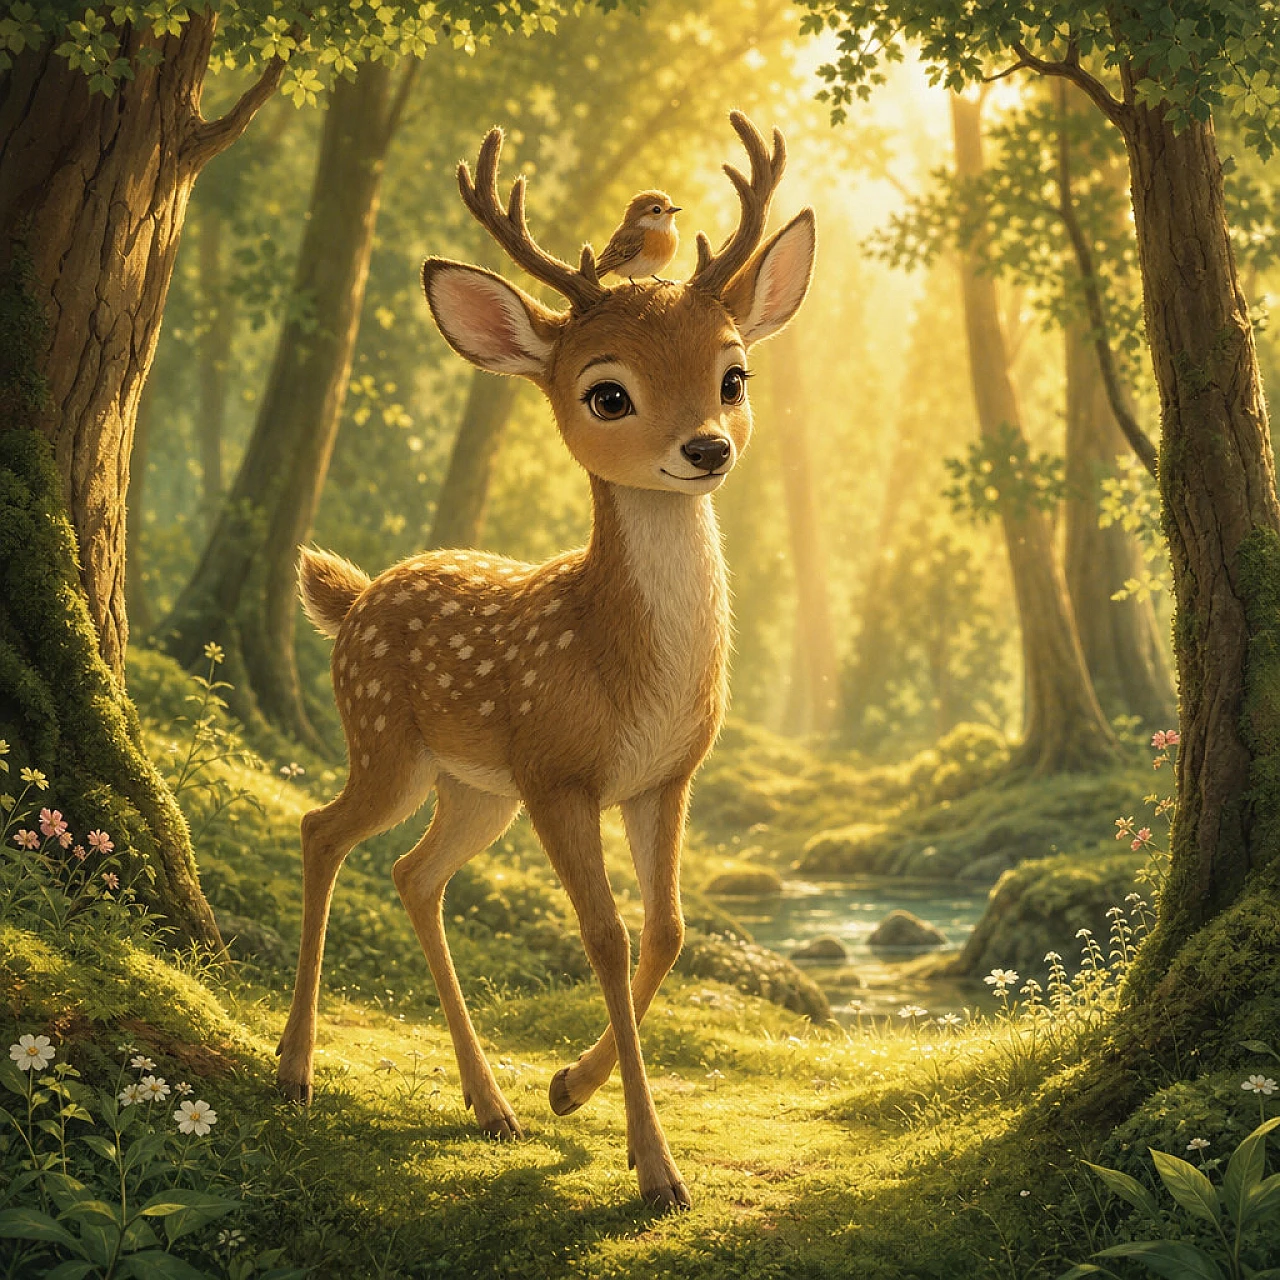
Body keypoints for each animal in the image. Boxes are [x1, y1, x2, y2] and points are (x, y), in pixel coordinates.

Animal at [275, 111, 815, 1209]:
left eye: (734, 376)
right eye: (606, 393)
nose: (707, 448)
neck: (628, 671)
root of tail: (354, 597)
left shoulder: (664, 777)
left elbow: (668, 929)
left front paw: (569, 1089)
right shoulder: (561, 771)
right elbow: (605, 935)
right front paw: (655, 1166)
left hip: (477, 788)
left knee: (412, 873)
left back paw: (492, 1103)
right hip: (388, 742)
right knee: (320, 830)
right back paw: (297, 1069)